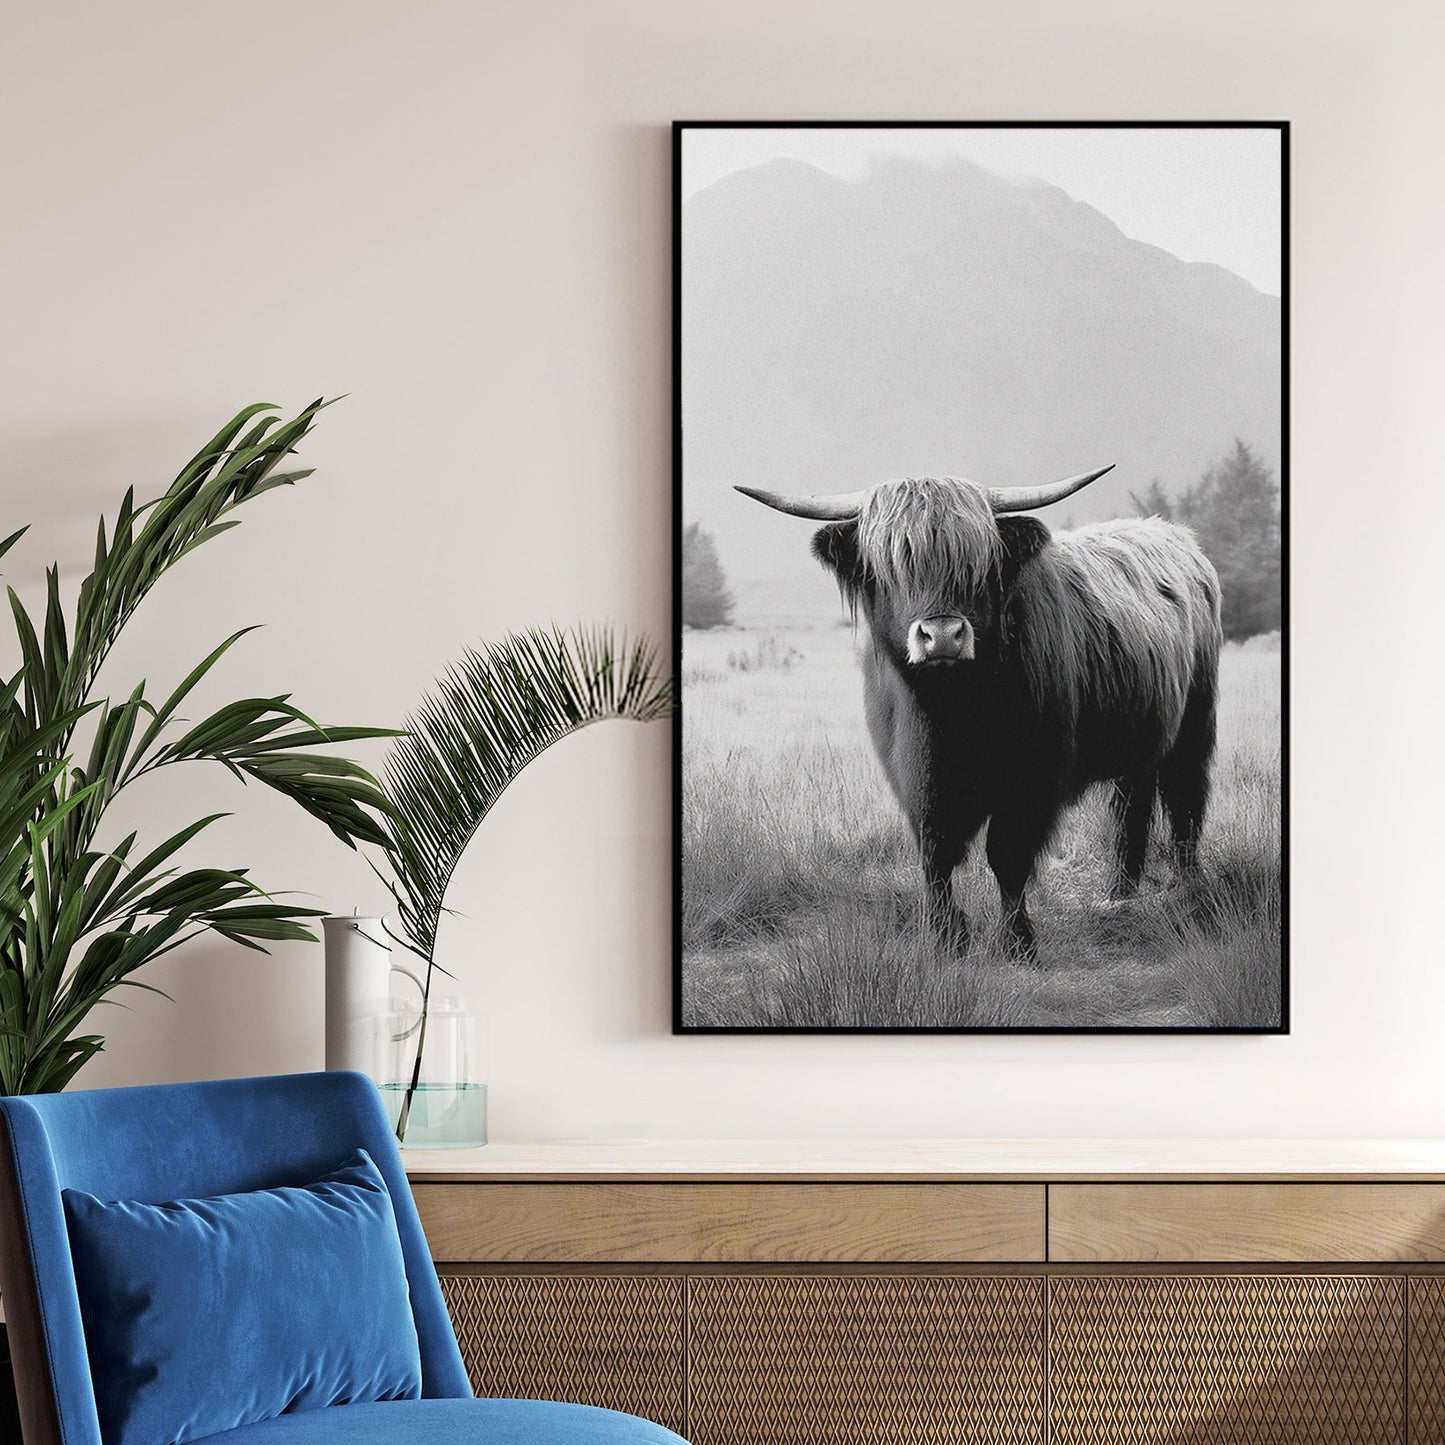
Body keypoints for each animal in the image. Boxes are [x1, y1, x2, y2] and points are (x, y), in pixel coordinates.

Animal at [737, 467, 1222, 960]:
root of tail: (1175, 537)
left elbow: (1007, 855)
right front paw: (946, 936)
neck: (952, 711)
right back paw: (1120, 892)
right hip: (1141, 735)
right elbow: (934, 852)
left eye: (976, 565)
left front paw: (1016, 941)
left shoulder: (1032, 779)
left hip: (1195, 721)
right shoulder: (915, 777)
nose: (942, 636)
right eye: (892, 567)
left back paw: (1188, 891)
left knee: (1184, 799)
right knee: (1132, 803)